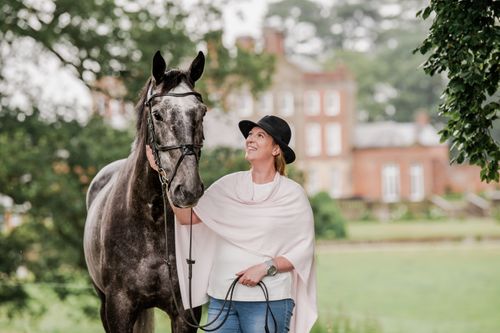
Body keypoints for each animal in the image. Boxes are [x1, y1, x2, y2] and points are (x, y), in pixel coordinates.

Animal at [85, 50, 206, 332]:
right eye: (158, 115)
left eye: (202, 112)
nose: (188, 189)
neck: (152, 220)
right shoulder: (118, 308)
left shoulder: (186, 313)